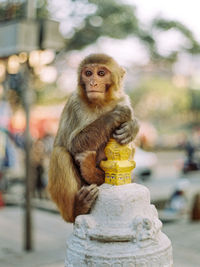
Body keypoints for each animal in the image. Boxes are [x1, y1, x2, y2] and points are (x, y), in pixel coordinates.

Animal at [48, 54, 139, 224]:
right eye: (88, 73)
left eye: (101, 73)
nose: (93, 82)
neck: (100, 103)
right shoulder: (75, 103)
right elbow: (74, 144)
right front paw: (117, 115)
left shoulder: (123, 99)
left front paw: (132, 127)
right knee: (59, 154)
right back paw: (78, 208)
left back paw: (94, 173)